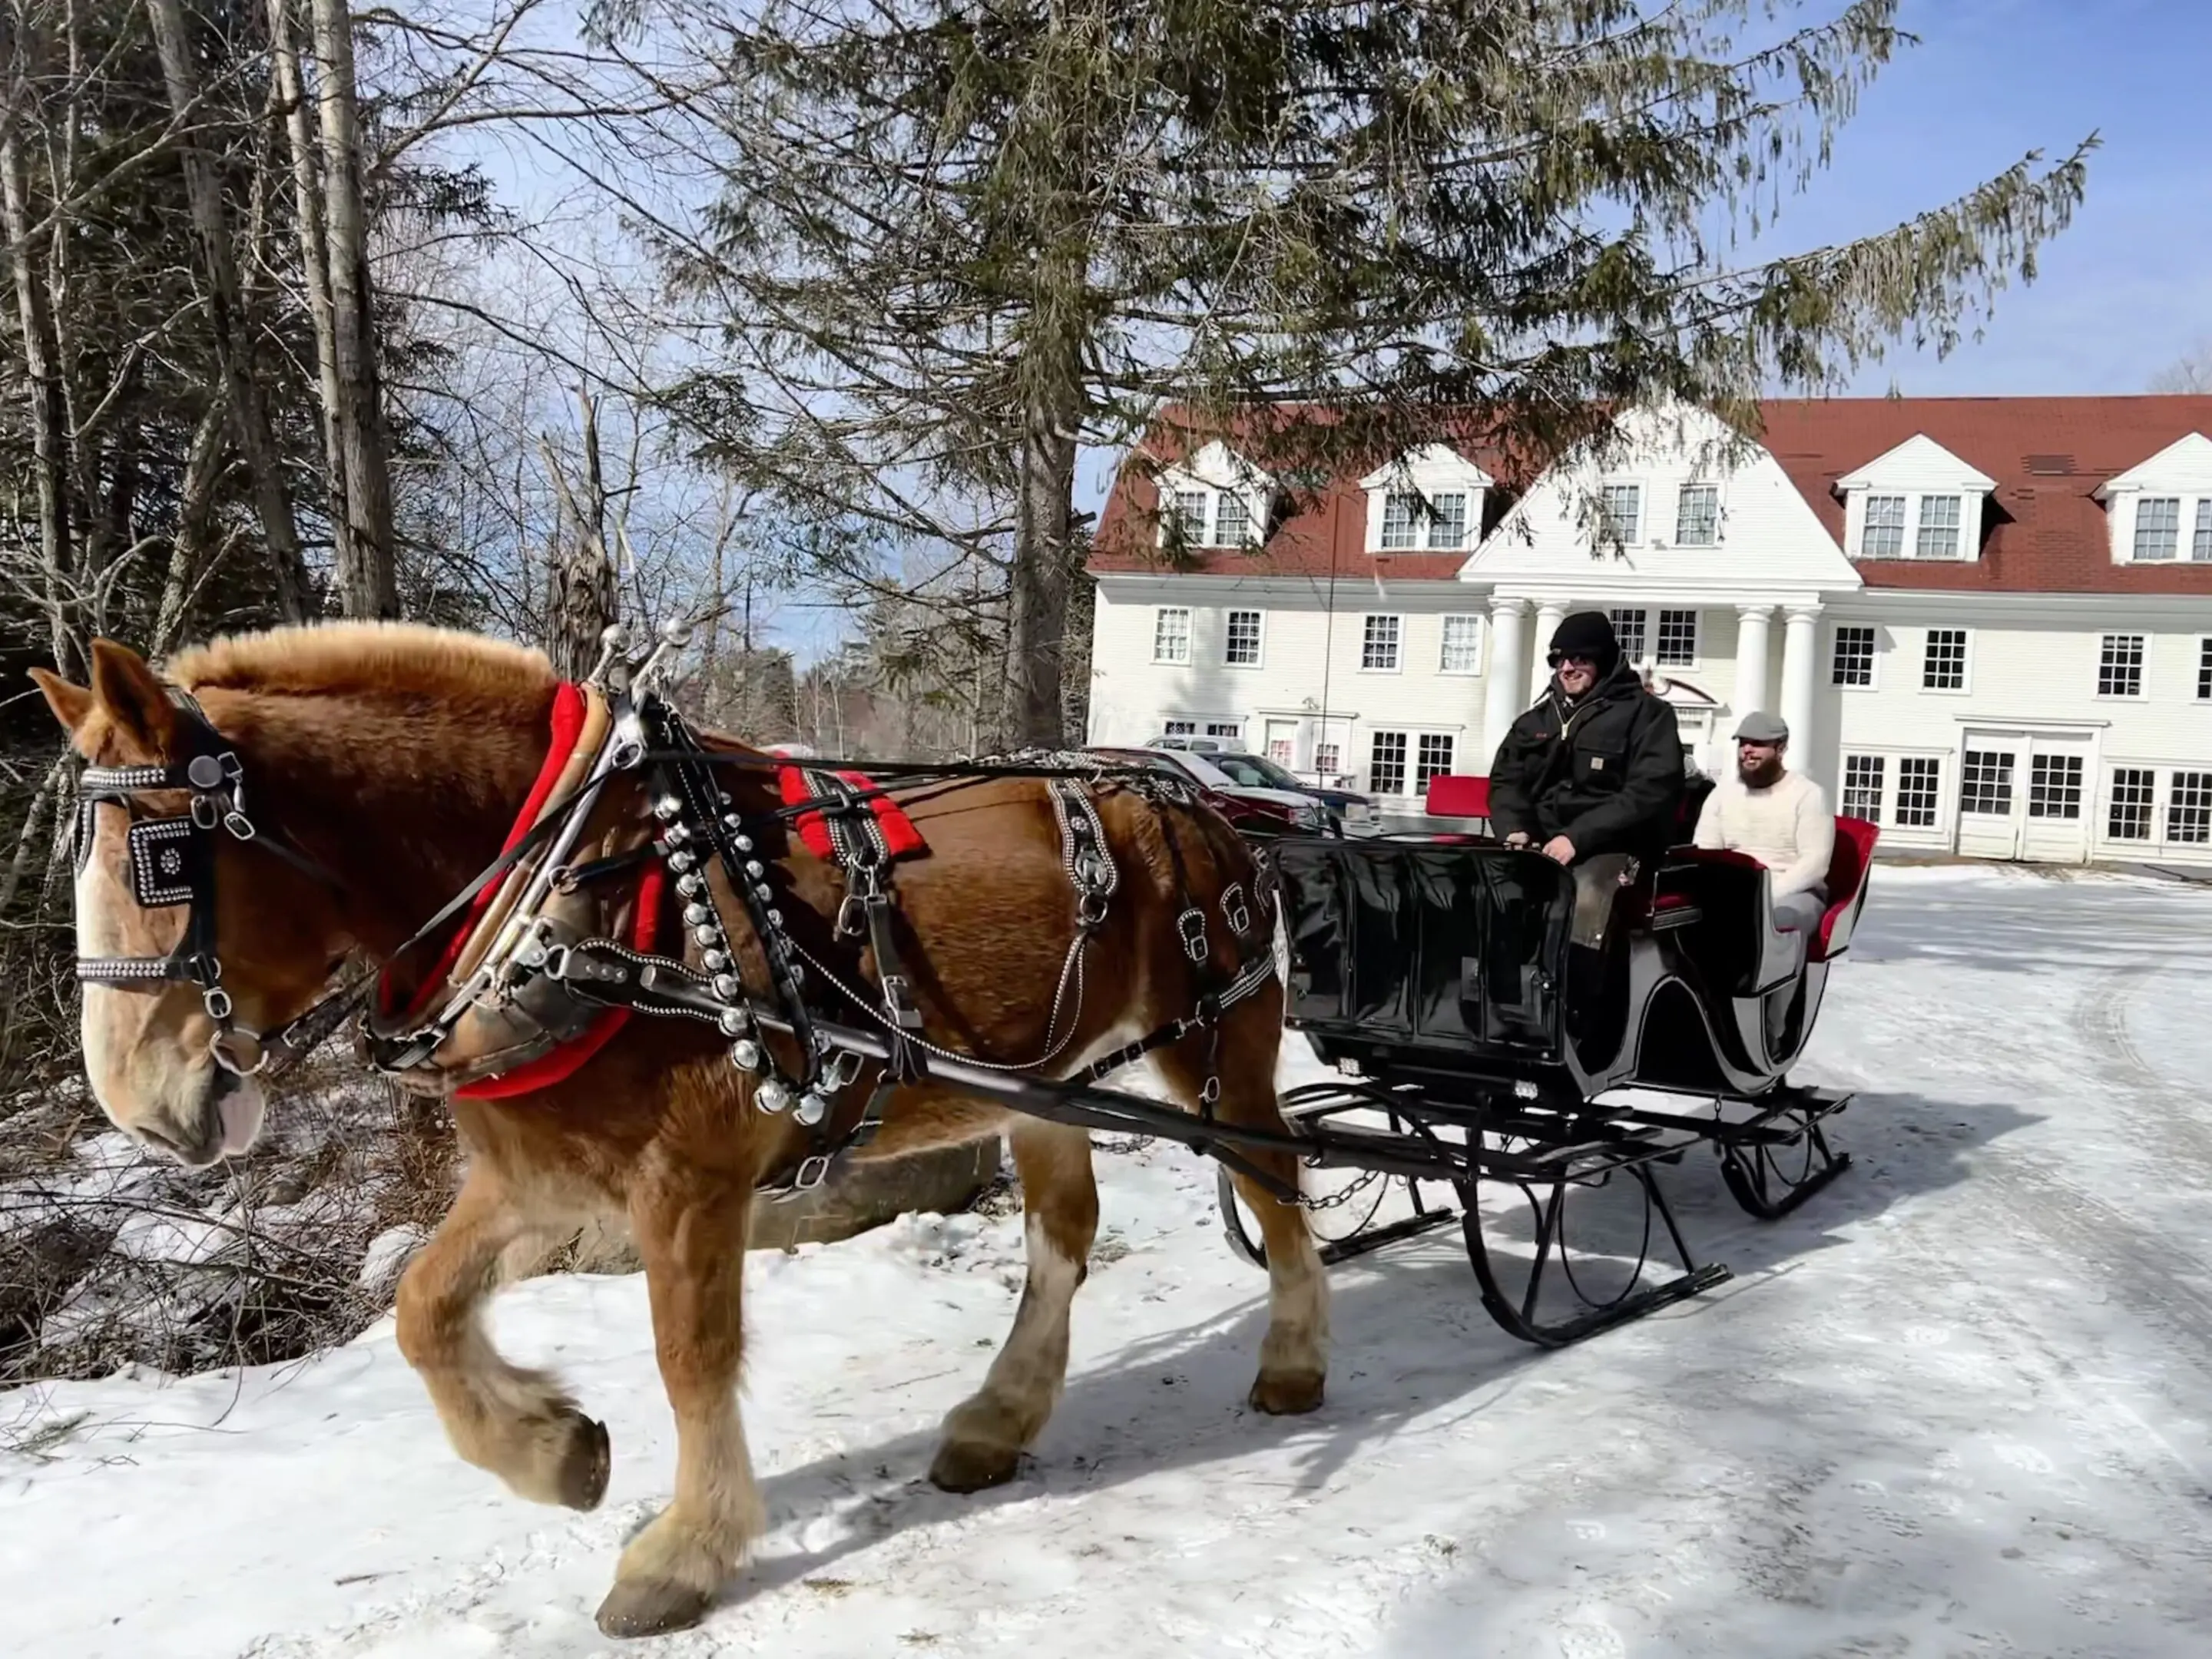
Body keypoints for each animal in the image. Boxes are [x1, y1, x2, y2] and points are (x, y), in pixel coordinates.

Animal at [30, 624, 1327, 1637]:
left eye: (161, 855)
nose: (141, 1109)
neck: (578, 889)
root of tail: (1199, 800)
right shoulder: (541, 1178)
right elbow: (422, 1309)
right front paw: (554, 1453)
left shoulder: (690, 1177)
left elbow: (690, 1356)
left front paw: (683, 1554)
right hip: (1042, 1084)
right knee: (1064, 1231)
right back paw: (996, 1423)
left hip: (1217, 1041)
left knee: (1273, 1180)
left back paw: (1295, 1360)